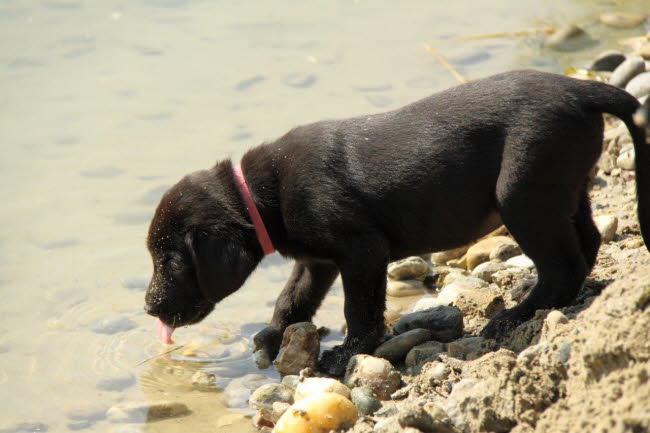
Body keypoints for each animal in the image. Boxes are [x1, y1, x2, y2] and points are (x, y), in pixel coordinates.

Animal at [143, 70, 648, 374]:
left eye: (171, 261)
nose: (148, 308)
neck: (262, 194)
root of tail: (582, 90)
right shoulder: (316, 260)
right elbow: (294, 298)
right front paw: (272, 336)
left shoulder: (361, 251)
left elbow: (359, 308)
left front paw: (347, 354)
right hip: (566, 189)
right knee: (586, 244)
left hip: (523, 193)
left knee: (561, 265)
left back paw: (513, 317)